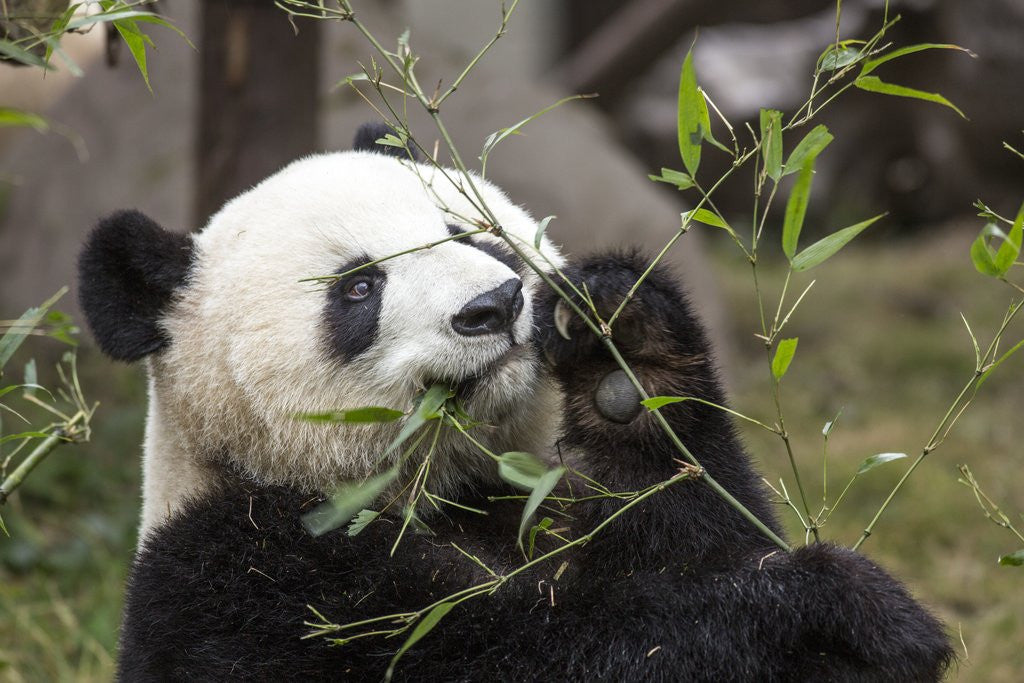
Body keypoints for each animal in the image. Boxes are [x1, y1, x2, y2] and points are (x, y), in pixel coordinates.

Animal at [78, 123, 953, 681]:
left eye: (470, 230)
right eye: (359, 287)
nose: (494, 305)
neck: (446, 488)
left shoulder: (547, 494)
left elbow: (692, 521)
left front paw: (623, 349)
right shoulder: (243, 579)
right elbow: (534, 649)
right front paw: (834, 608)